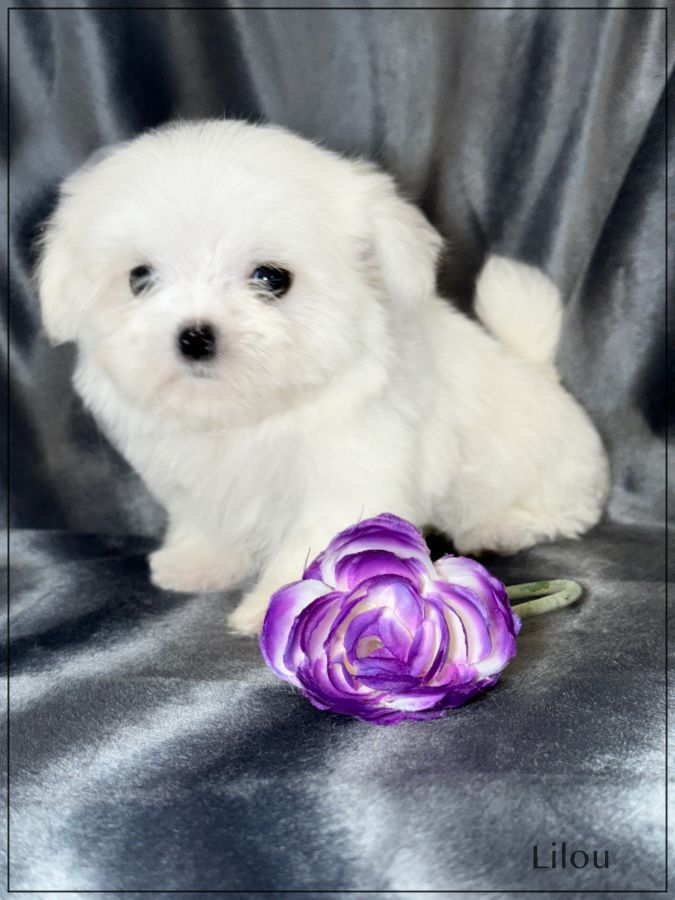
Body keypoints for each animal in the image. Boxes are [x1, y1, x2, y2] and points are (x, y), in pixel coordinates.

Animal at [37, 119, 609, 635]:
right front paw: (198, 561)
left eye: (271, 278)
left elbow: (319, 540)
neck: (250, 414)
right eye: (140, 278)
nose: (195, 336)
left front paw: (288, 609)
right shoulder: (197, 480)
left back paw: (501, 527)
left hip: (553, 476)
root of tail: (539, 371)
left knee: (562, 513)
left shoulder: (349, 473)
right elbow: (206, 519)